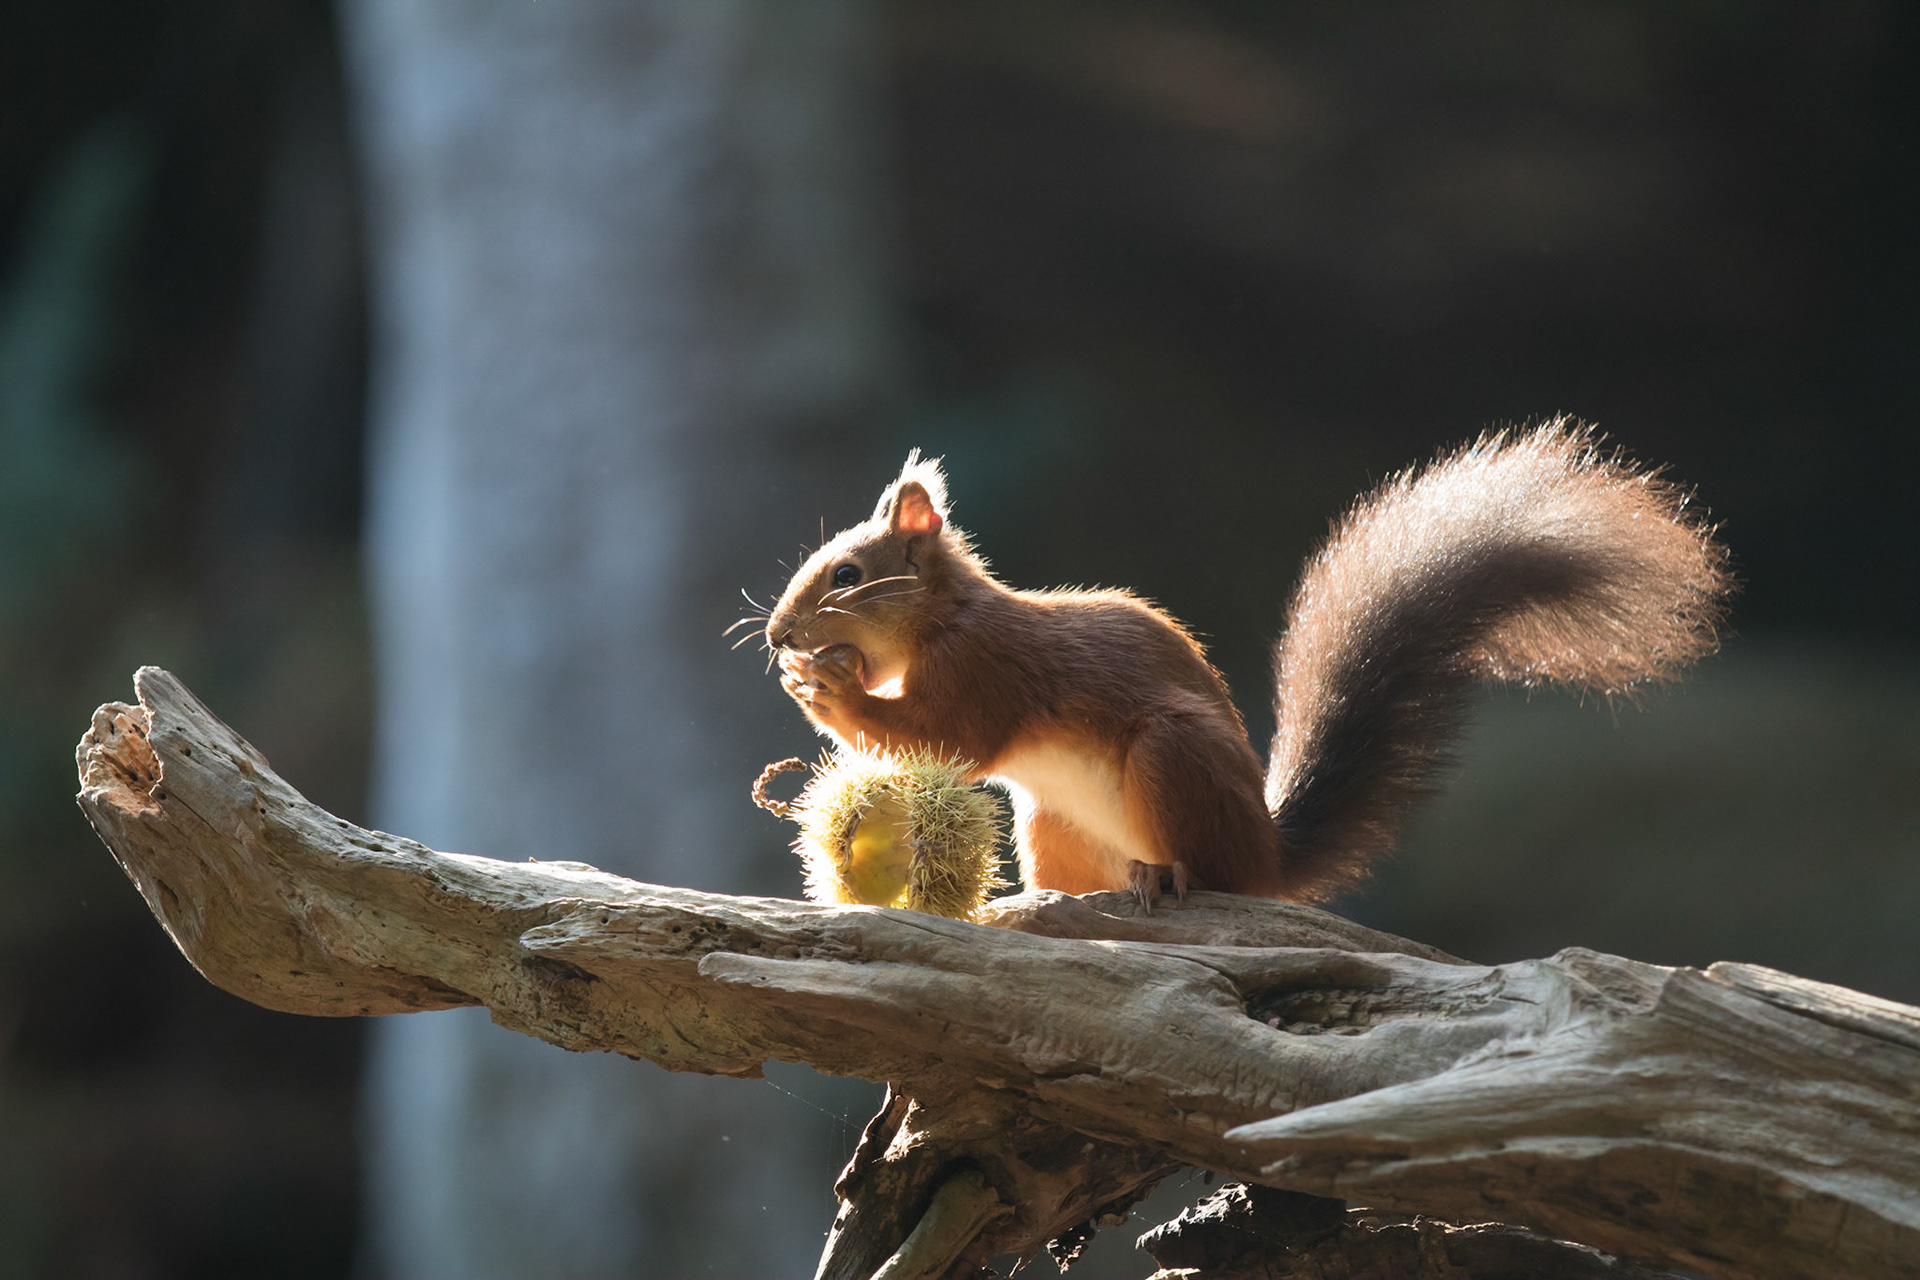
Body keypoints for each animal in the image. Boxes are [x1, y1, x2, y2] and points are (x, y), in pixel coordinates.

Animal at [762, 420, 1731, 906]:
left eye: (847, 575)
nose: (776, 636)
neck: (946, 617)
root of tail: (1269, 854)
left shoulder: (985, 671)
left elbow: (946, 740)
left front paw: (825, 687)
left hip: (1173, 756)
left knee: (1217, 876)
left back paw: (1170, 875)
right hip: (1052, 822)